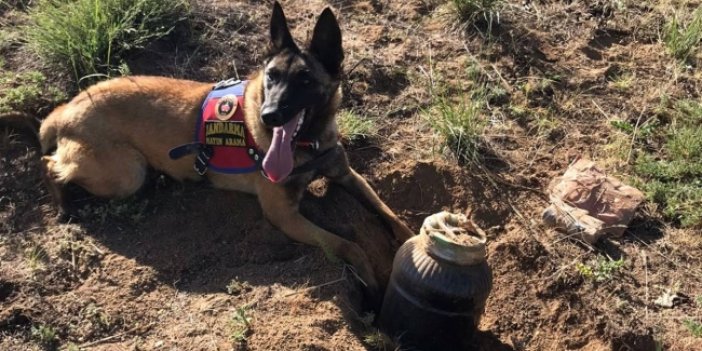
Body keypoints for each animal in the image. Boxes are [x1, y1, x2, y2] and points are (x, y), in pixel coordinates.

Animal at [0, 2, 416, 300]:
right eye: (271, 77)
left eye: (305, 80)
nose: (268, 116)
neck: (307, 143)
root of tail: (65, 109)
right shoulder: (285, 215)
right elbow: (348, 244)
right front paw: (371, 284)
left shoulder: (347, 175)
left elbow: (388, 213)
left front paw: (408, 240)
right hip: (126, 173)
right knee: (48, 163)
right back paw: (63, 205)